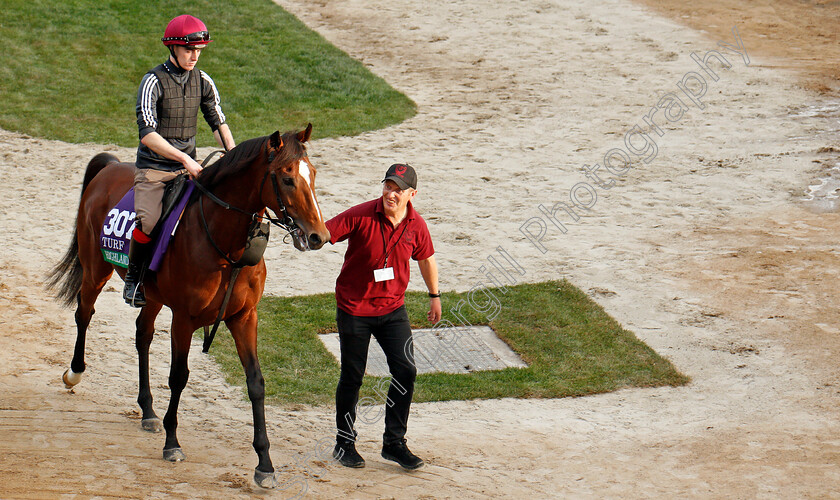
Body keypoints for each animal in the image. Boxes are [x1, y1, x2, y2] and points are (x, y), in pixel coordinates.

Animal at [45, 125, 328, 488]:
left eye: (313, 174)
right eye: (287, 178)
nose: (319, 235)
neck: (226, 248)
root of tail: (110, 166)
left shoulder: (244, 317)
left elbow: (256, 383)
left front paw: (265, 463)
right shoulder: (183, 318)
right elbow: (178, 376)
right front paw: (172, 443)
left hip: (151, 295)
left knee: (142, 334)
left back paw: (148, 411)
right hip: (96, 269)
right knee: (84, 314)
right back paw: (75, 373)